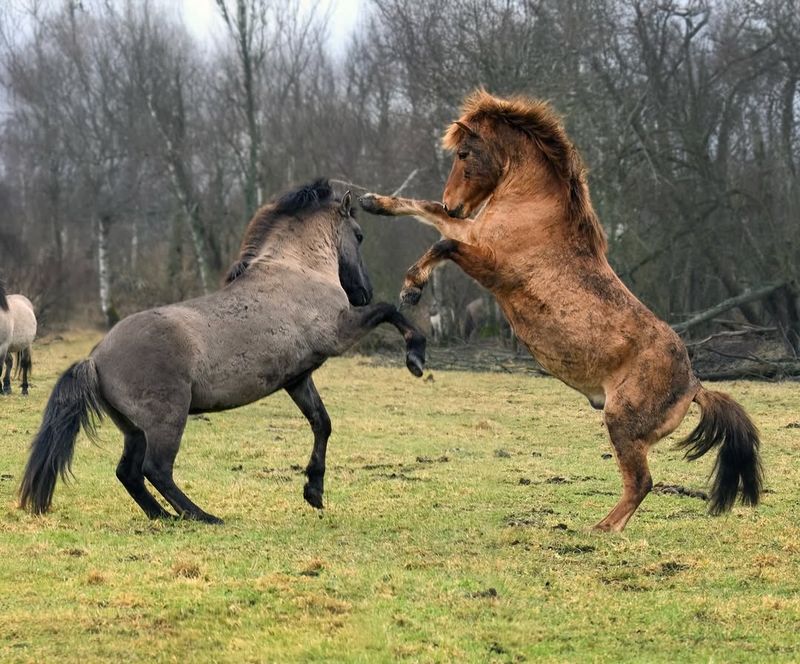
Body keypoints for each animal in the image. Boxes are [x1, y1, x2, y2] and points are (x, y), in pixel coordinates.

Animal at [18, 182, 424, 524]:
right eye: (359, 235)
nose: (363, 292)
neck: (296, 270)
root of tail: (96, 358)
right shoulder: (339, 334)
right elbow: (390, 311)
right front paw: (416, 356)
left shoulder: (297, 378)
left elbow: (321, 423)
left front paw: (314, 491)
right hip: (166, 421)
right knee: (156, 469)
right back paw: (202, 516)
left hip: (135, 429)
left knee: (129, 473)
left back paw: (164, 517)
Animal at [362, 91, 764, 532]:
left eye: (464, 153)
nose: (456, 206)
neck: (533, 207)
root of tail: (695, 385)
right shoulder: (472, 233)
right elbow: (425, 210)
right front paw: (373, 203)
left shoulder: (489, 261)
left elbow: (442, 244)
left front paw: (411, 288)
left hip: (621, 425)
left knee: (641, 482)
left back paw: (602, 529)